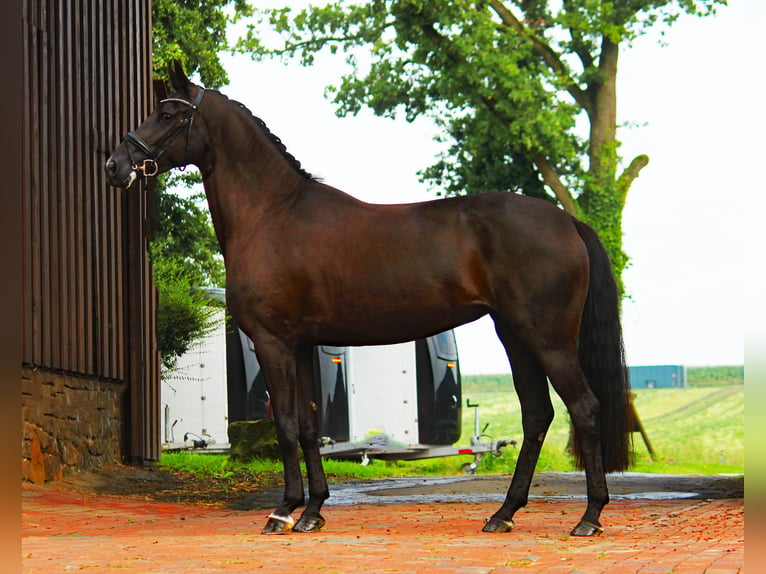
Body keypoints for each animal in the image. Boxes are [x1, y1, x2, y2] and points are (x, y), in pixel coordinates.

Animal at [105, 63, 632, 540]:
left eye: (168, 113)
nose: (115, 165)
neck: (272, 214)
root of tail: (567, 222)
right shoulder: (302, 346)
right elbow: (310, 426)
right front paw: (313, 512)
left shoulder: (273, 342)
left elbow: (286, 425)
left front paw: (282, 512)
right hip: (516, 336)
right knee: (537, 414)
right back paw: (503, 514)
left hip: (548, 339)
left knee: (584, 407)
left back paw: (589, 518)